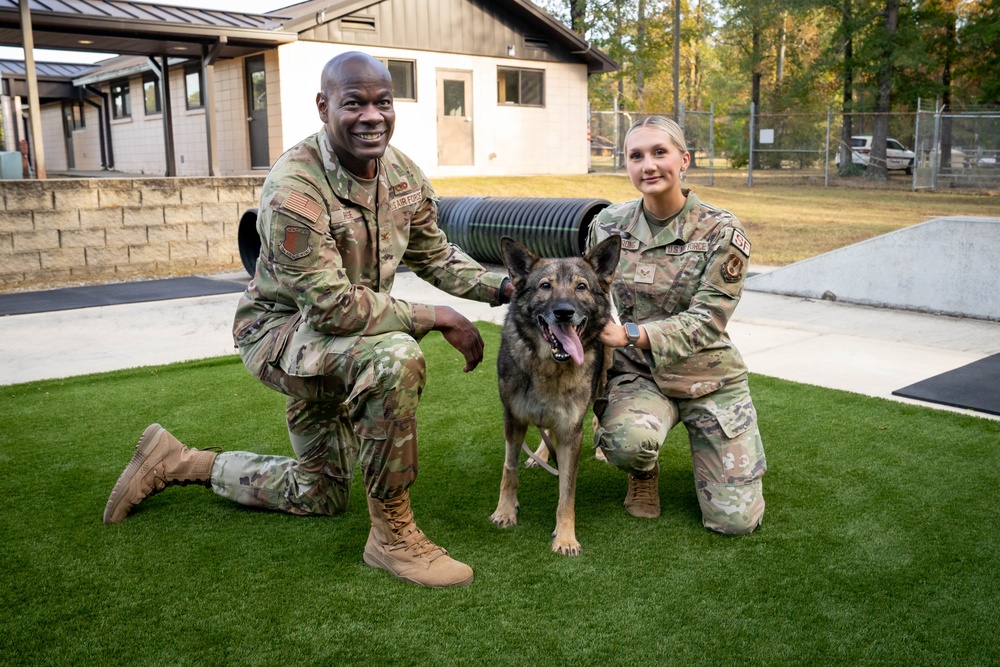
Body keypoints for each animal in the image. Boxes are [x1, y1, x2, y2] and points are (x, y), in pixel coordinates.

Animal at [490, 232, 620, 556]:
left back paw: (600, 451)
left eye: (581, 286)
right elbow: (509, 469)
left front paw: (565, 537)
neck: (549, 366)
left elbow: (567, 493)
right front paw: (505, 511)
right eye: (545, 286)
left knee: (598, 420)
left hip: (601, 389)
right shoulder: (513, 419)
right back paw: (539, 455)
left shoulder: (571, 431)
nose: (564, 312)